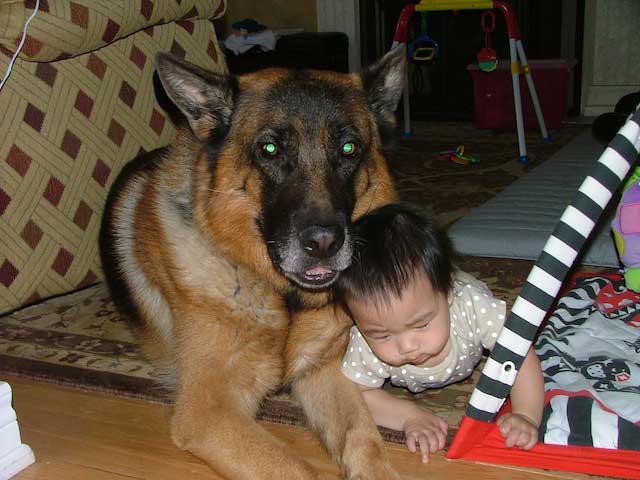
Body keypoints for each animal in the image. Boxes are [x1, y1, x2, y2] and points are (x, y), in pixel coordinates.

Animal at [102, 46, 404, 480]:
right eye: (270, 149)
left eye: (349, 148)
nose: (324, 243)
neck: (280, 296)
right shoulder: (208, 412)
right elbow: (295, 469)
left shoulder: (323, 372)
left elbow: (365, 440)